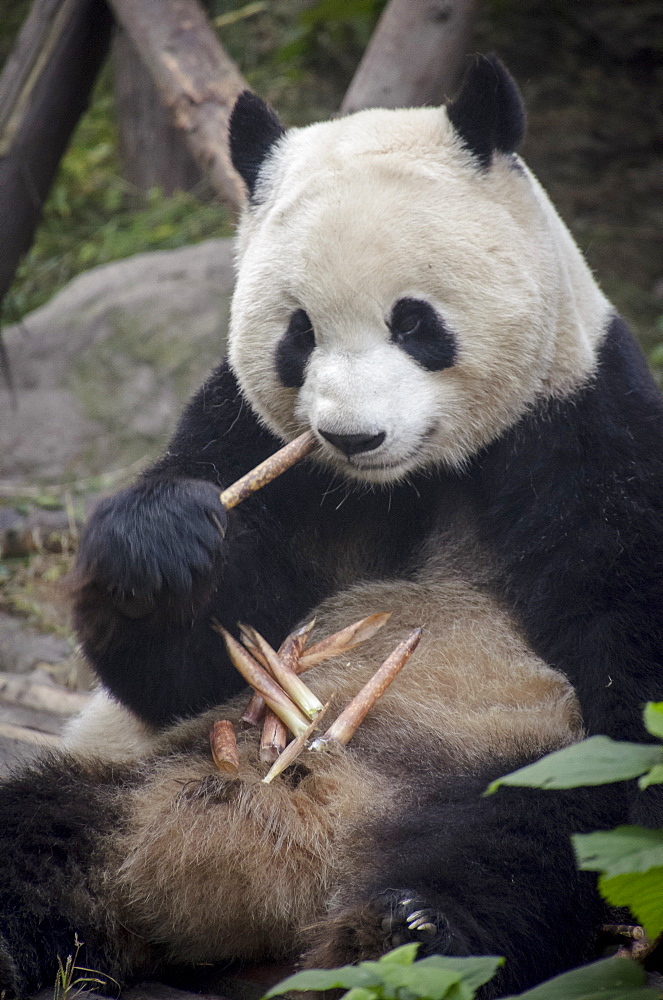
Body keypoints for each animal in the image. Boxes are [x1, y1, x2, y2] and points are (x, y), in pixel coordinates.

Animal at [1, 54, 663, 1000]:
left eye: (414, 322)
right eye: (298, 334)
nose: (353, 436)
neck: (409, 482)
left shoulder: (583, 430)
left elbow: (628, 671)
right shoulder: (251, 436)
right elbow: (182, 668)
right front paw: (160, 548)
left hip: (487, 767)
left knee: (529, 843)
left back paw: (403, 931)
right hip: (130, 776)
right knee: (34, 831)